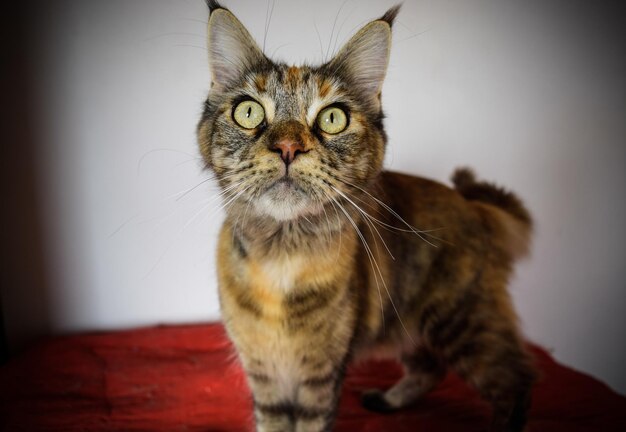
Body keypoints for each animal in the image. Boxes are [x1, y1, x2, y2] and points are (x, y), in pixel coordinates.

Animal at [197, 1, 532, 430]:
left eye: (332, 118)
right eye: (249, 111)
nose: (288, 147)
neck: (281, 257)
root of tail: (472, 204)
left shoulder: (320, 377)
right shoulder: (265, 376)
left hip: (463, 323)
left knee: (516, 380)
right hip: (408, 324)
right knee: (431, 368)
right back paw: (389, 400)